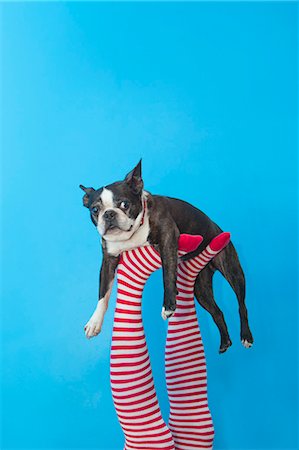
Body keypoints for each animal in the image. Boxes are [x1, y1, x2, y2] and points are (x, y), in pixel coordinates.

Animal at [79, 160, 253, 354]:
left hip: (232, 269)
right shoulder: (108, 261)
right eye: (95, 209)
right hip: (201, 290)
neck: (132, 235)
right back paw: (225, 342)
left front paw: (169, 305)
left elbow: (168, 274)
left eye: (124, 204)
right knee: (218, 312)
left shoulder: (168, 237)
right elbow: (103, 293)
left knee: (242, 305)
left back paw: (246, 336)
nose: (109, 214)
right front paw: (94, 322)